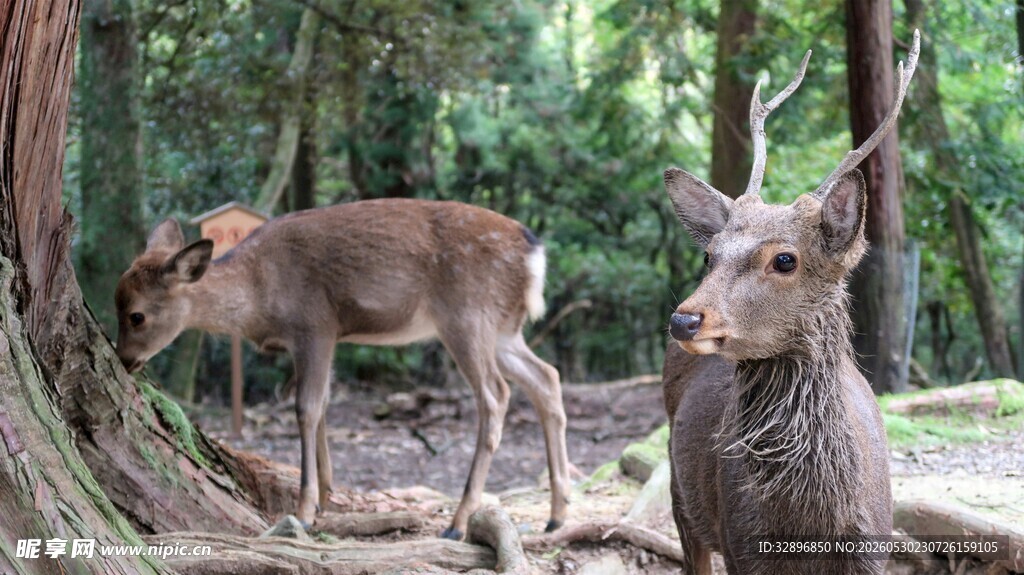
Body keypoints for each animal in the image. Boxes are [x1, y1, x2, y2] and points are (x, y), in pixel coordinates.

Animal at [113, 198, 571, 540]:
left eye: (136, 315)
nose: (123, 359)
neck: (259, 294)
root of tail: (534, 253)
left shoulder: (314, 323)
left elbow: (306, 407)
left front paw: (303, 510)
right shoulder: (326, 337)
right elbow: (323, 405)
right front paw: (327, 495)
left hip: (467, 315)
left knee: (496, 396)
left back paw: (458, 523)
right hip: (504, 328)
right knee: (547, 377)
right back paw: (557, 514)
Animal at [661, 31, 919, 575]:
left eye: (785, 259)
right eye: (710, 255)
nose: (684, 319)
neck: (809, 523)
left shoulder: (874, 549)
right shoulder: (741, 545)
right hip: (680, 496)